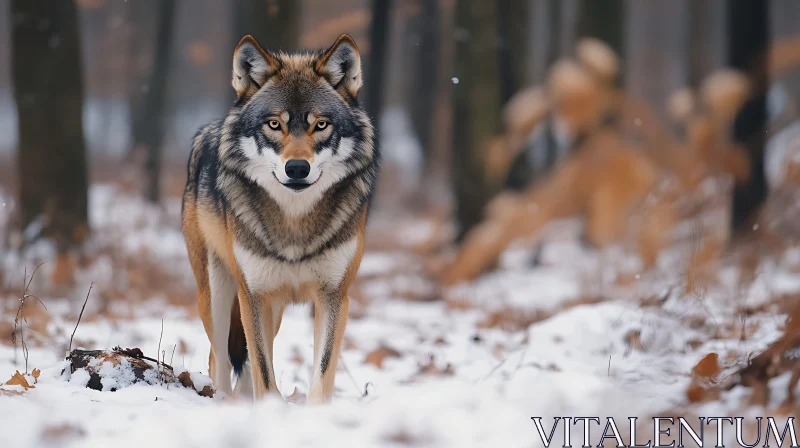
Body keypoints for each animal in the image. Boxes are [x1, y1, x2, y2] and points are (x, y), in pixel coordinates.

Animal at [183, 32, 380, 402]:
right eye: (274, 124)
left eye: (321, 125)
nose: (297, 168)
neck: (294, 223)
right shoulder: (253, 294)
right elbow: (263, 370)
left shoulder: (334, 296)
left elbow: (320, 371)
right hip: (217, 296)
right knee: (219, 358)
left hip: (271, 310)